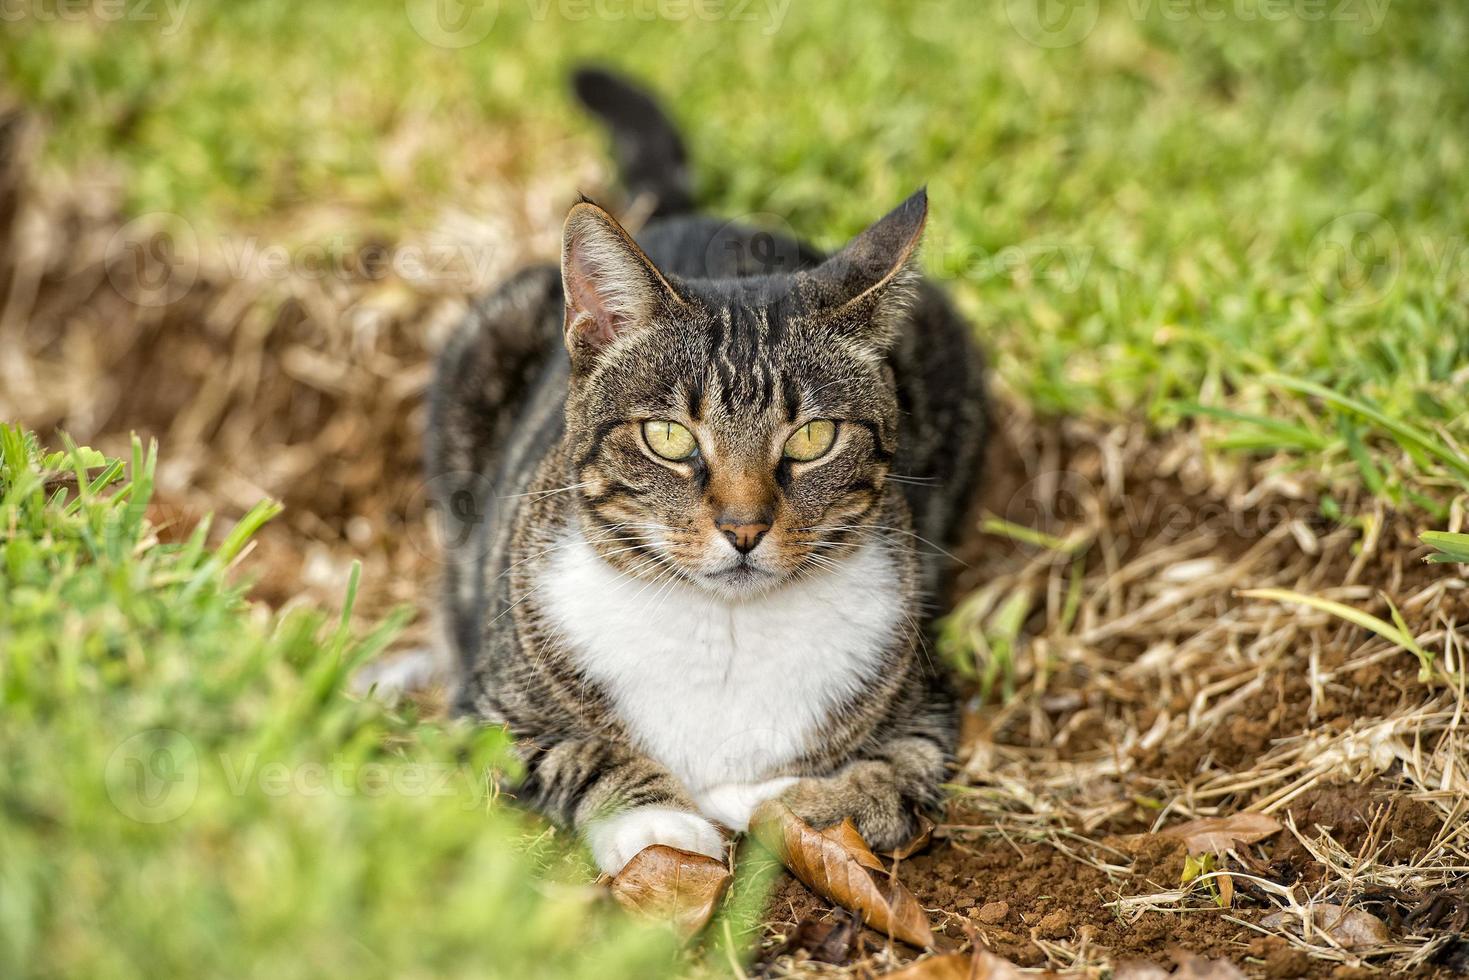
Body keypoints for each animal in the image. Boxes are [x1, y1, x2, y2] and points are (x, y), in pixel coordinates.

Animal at [428, 69, 993, 875]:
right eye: (668, 437)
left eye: (813, 437)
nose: (744, 528)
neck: (724, 629)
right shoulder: (486, 716)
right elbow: (579, 753)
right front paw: (663, 821)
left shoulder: (929, 714)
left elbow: (881, 788)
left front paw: (762, 799)